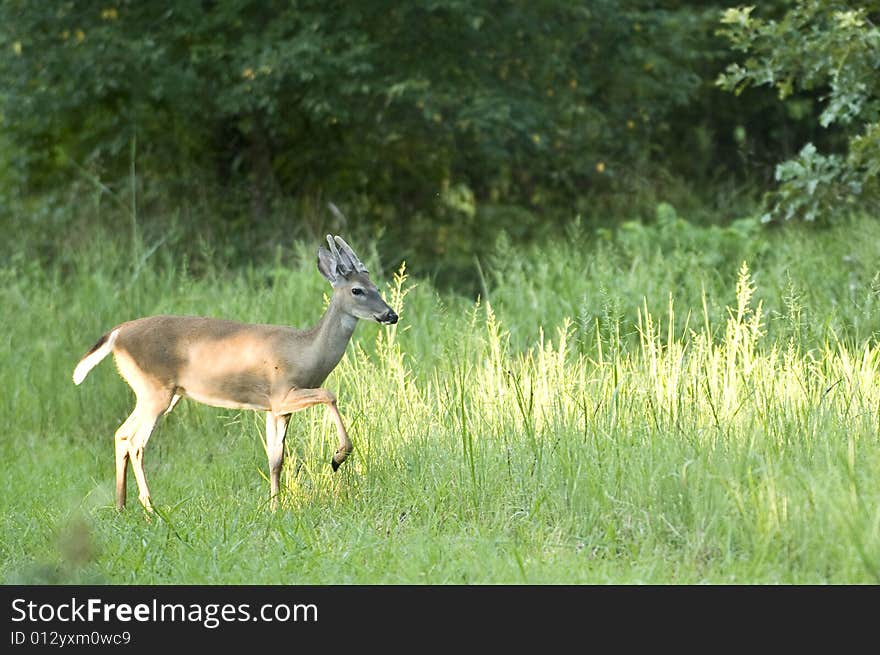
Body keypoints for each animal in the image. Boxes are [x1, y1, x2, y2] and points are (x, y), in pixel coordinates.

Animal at [72, 236, 398, 512]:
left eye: (377, 287)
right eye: (357, 290)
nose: (391, 314)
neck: (306, 352)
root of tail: (117, 333)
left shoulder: (275, 409)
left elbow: (275, 459)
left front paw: (275, 507)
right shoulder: (282, 393)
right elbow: (330, 394)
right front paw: (338, 457)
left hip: (159, 393)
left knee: (122, 434)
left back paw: (121, 505)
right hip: (154, 390)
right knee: (136, 442)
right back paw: (150, 508)